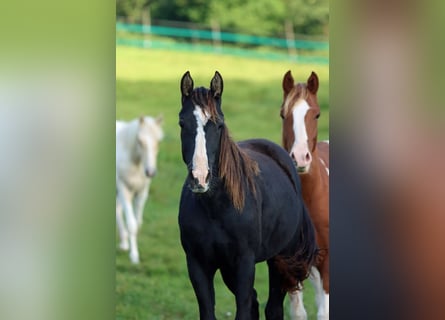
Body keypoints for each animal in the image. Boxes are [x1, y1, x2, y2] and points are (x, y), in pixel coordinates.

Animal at [116, 115, 163, 262]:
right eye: (140, 141)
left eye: (158, 141)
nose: (150, 172)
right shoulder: (124, 189)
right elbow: (132, 224)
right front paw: (134, 256)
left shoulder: (142, 192)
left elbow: (137, 223)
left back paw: (124, 243)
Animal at [176, 71, 316, 318]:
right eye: (182, 123)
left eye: (219, 124)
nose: (200, 177)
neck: (217, 208)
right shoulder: (198, 265)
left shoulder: (244, 264)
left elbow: (243, 308)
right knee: (255, 302)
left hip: (281, 259)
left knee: (272, 307)